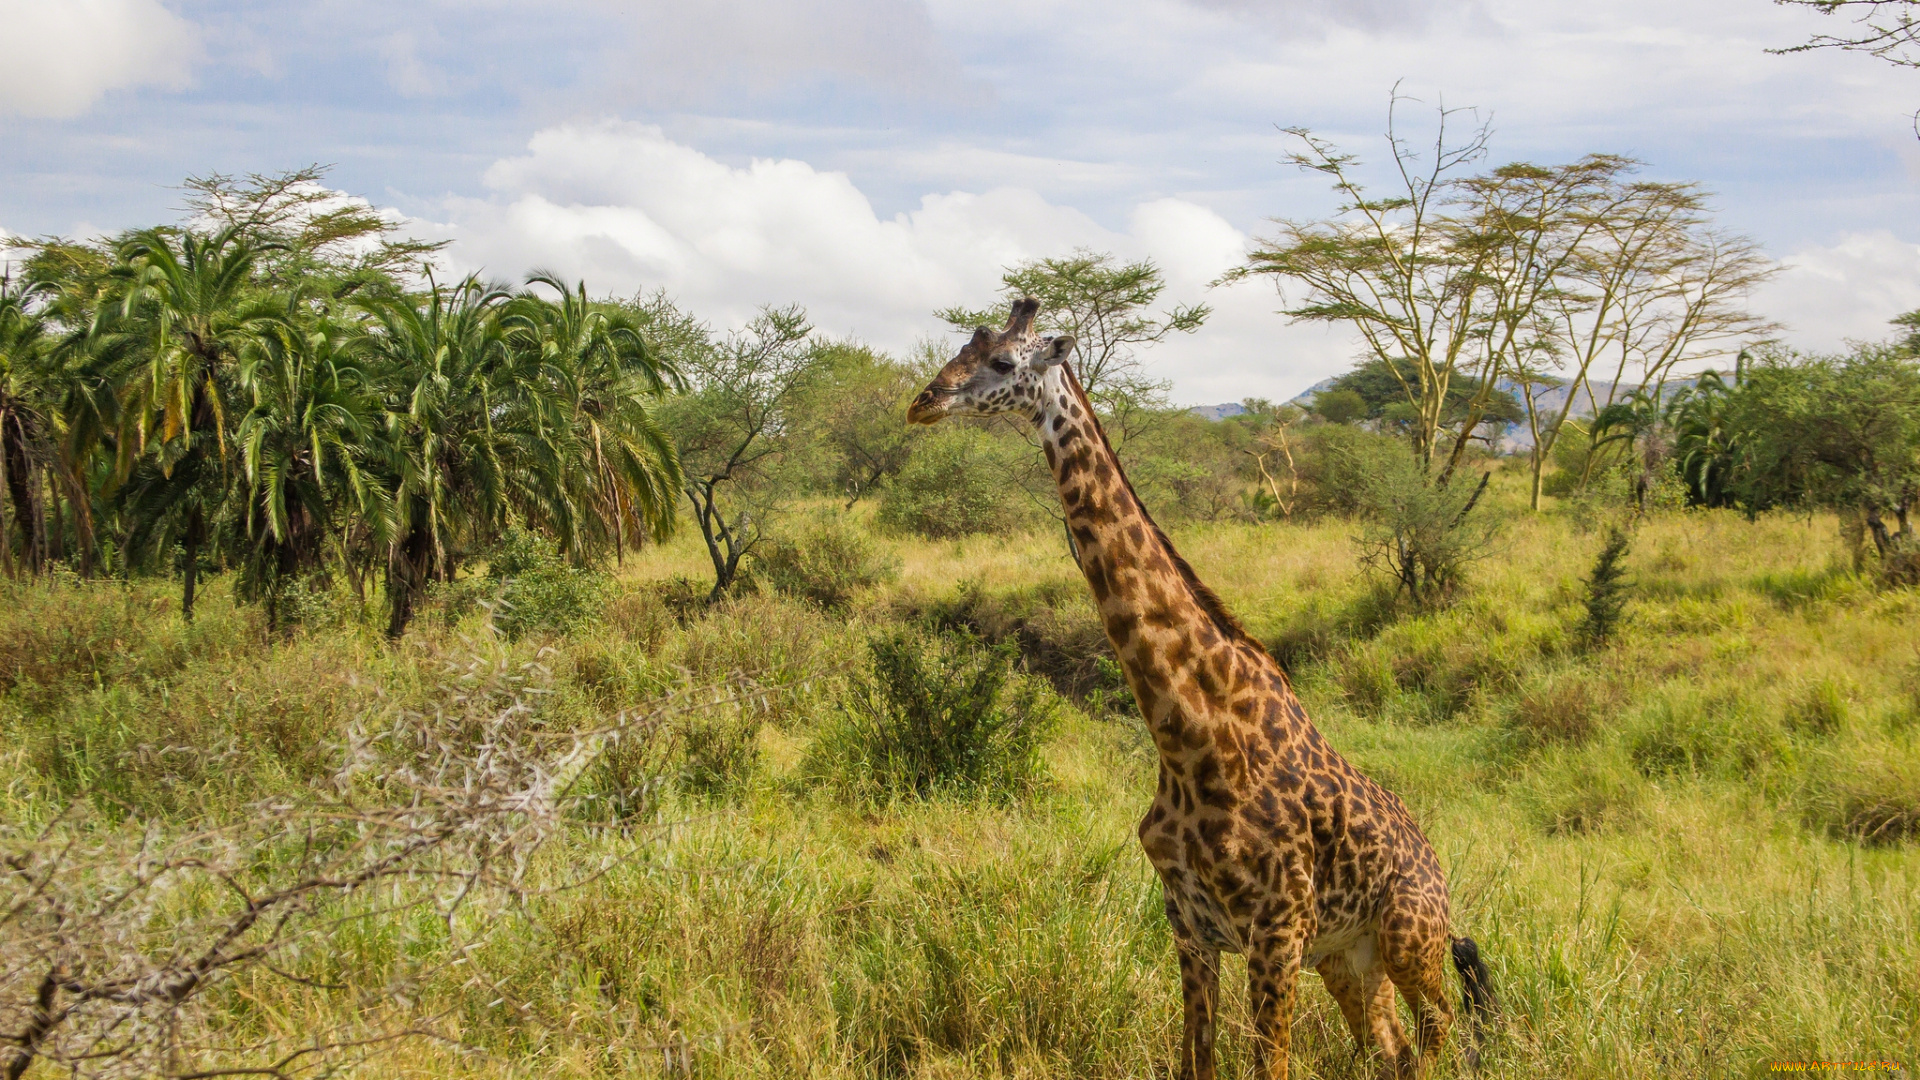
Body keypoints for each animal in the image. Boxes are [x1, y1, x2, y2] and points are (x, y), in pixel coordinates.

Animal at [913, 297, 1497, 1068]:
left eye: (1004, 361)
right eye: (960, 348)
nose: (922, 402)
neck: (1190, 738)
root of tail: (1438, 869)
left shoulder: (1275, 935)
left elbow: (1268, 1066)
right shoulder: (1190, 926)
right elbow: (1197, 1059)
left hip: (1411, 941)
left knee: (1441, 1035)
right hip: (1349, 959)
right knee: (1391, 1050)